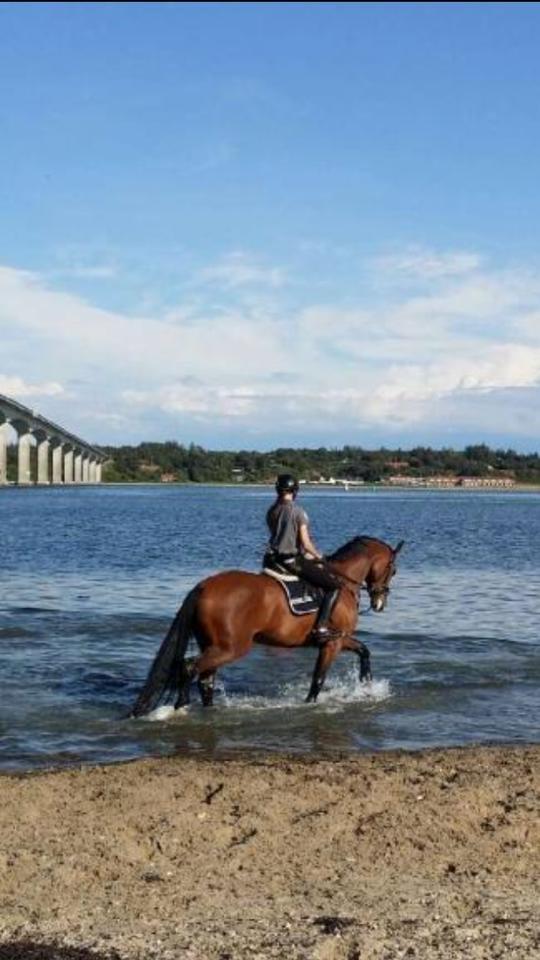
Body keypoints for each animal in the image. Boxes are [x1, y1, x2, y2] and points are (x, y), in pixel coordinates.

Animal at [130, 536, 400, 716]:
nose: (380, 602)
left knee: (205, 680)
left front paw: (367, 684)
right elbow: (318, 679)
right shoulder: (332, 643)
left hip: (213, 645)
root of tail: (203, 586)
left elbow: (364, 651)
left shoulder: (340, 639)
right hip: (230, 648)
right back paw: (181, 706)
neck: (341, 582)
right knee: (188, 668)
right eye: (393, 570)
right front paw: (310, 704)